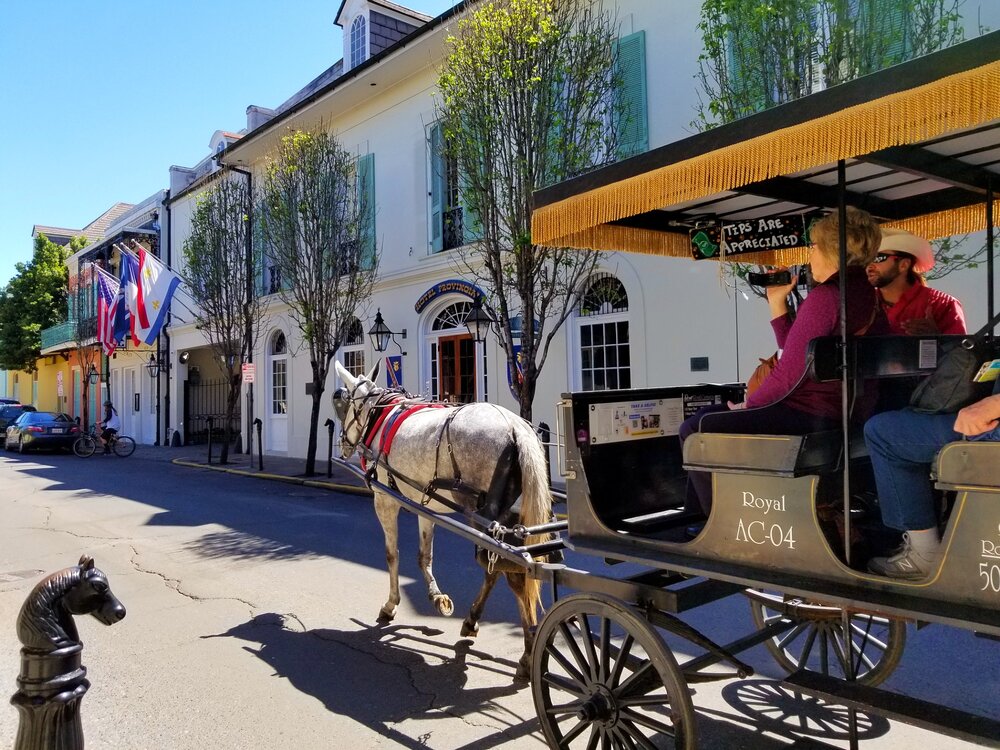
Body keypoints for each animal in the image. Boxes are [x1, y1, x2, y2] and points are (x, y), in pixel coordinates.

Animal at [336, 360, 556, 680]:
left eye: (342, 403)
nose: (343, 444)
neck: (381, 416)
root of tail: (516, 428)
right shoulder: (423, 504)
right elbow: (424, 555)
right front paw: (436, 597)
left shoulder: (385, 500)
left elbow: (392, 554)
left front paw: (391, 605)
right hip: (511, 518)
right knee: (499, 568)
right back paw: (474, 621)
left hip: (484, 514)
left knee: (508, 570)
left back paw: (528, 654)